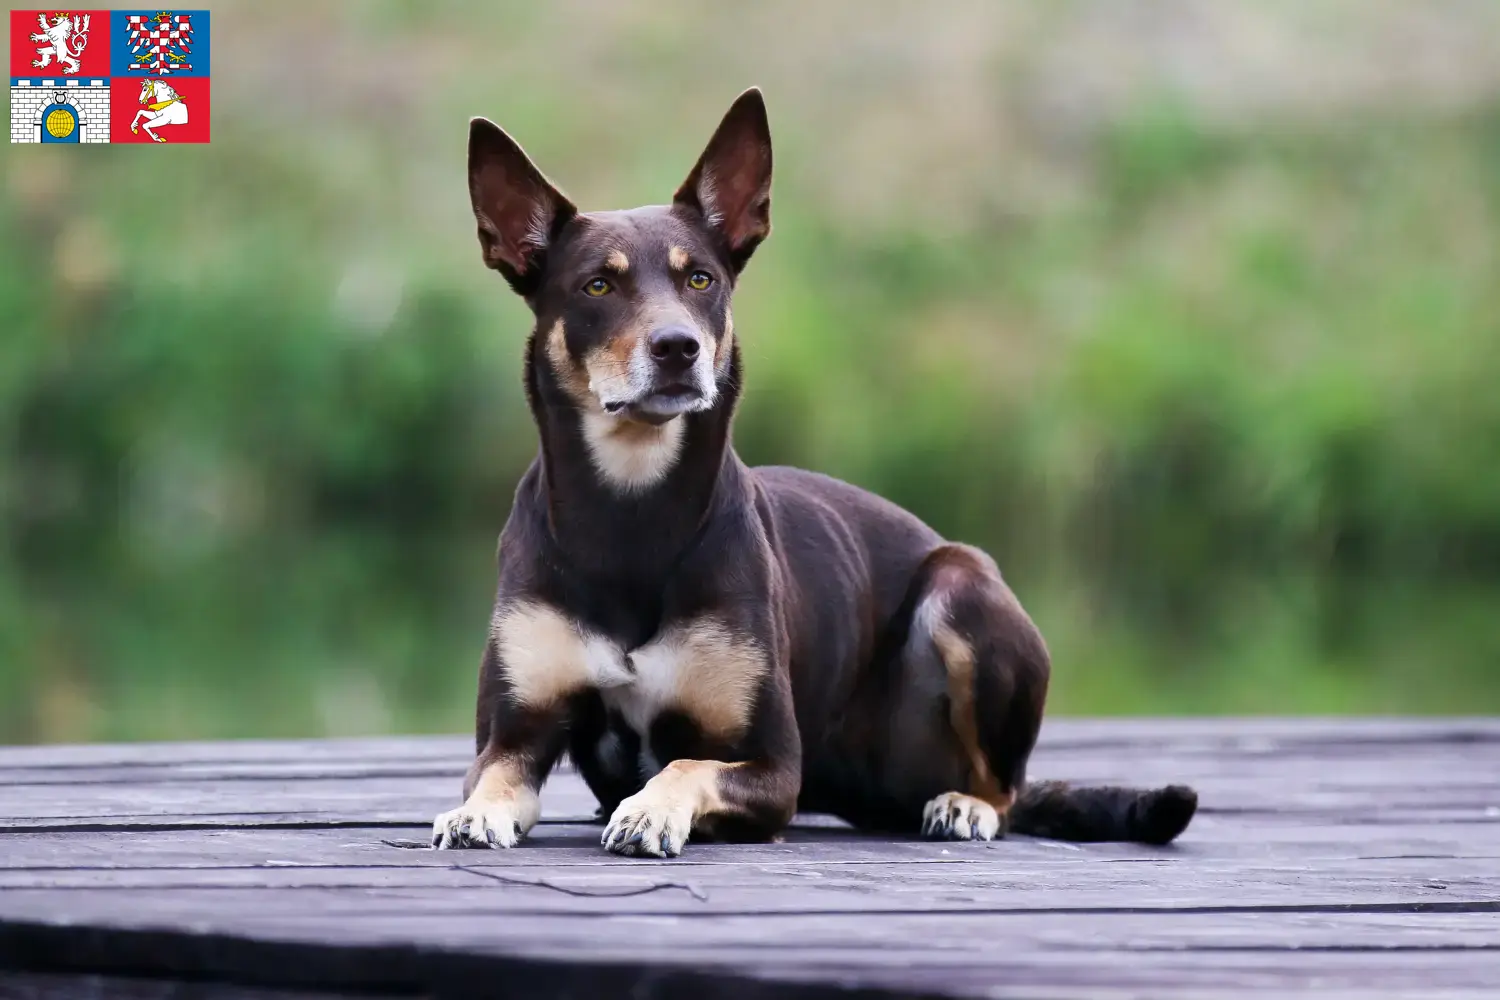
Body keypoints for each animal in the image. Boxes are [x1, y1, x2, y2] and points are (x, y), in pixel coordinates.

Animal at [432, 86, 1194, 857]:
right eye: (596, 286)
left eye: (701, 279)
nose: (677, 347)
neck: (631, 509)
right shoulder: (515, 731)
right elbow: (494, 777)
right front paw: (475, 814)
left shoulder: (772, 766)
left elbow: (684, 764)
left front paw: (649, 810)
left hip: (961, 591)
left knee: (1002, 786)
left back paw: (965, 803)